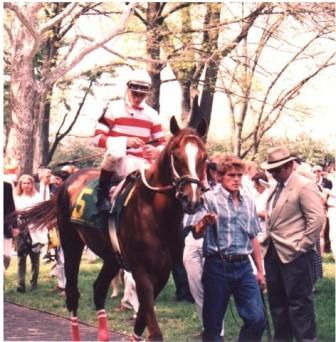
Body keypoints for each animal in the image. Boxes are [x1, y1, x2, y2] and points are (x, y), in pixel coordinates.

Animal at [16, 116, 207, 340]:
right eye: (176, 156)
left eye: (204, 156)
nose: (191, 199)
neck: (155, 215)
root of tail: (67, 181)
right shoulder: (141, 271)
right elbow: (154, 331)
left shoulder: (162, 272)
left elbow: (141, 321)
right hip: (71, 243)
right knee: (72, 295)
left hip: (111, 257)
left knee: (98, 289)